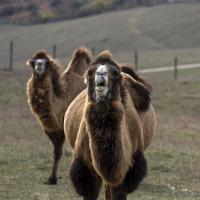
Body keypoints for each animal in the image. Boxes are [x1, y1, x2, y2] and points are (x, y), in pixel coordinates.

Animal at [26, 47, 92, 184]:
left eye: (46, 63)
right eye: (34, 62)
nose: (39, 66)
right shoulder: (53, 130)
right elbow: (57, 152)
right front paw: (52, 179)